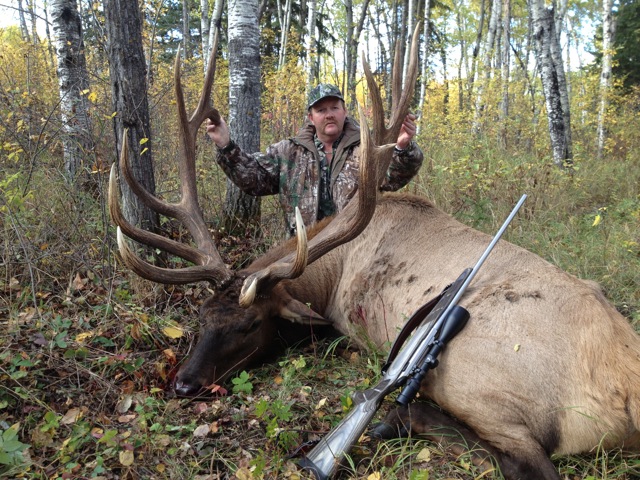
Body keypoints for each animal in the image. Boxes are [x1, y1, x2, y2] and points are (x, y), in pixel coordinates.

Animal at [107, 27, 640, 480]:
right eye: (202, 318)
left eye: (250, 325)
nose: (185, 384)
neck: (331, 274)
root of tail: (627, 384)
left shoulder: (345, 324)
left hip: (484, 383)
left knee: (526, 462)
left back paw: (405, 417)